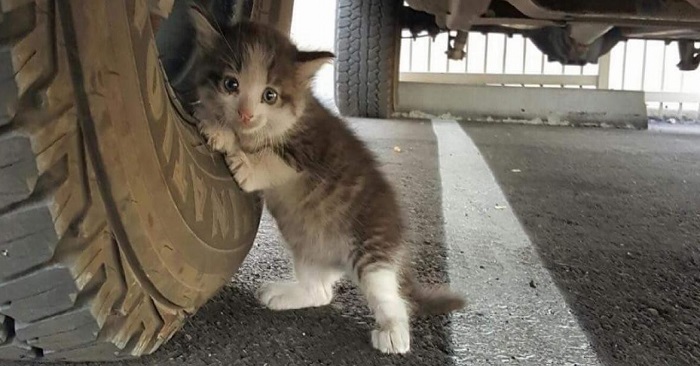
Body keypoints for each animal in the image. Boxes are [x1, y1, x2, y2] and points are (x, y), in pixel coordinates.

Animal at [189, 8, 468, 354]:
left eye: (270, 95)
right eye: (231, 84)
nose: (246, 114)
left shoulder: (313, 149)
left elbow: (272, 158)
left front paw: (240, 154)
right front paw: (216, 124)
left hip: (372, 247)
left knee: (391, 296)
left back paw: (394, 332)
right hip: (308, 249)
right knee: (321, 292)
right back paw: (285, 294)